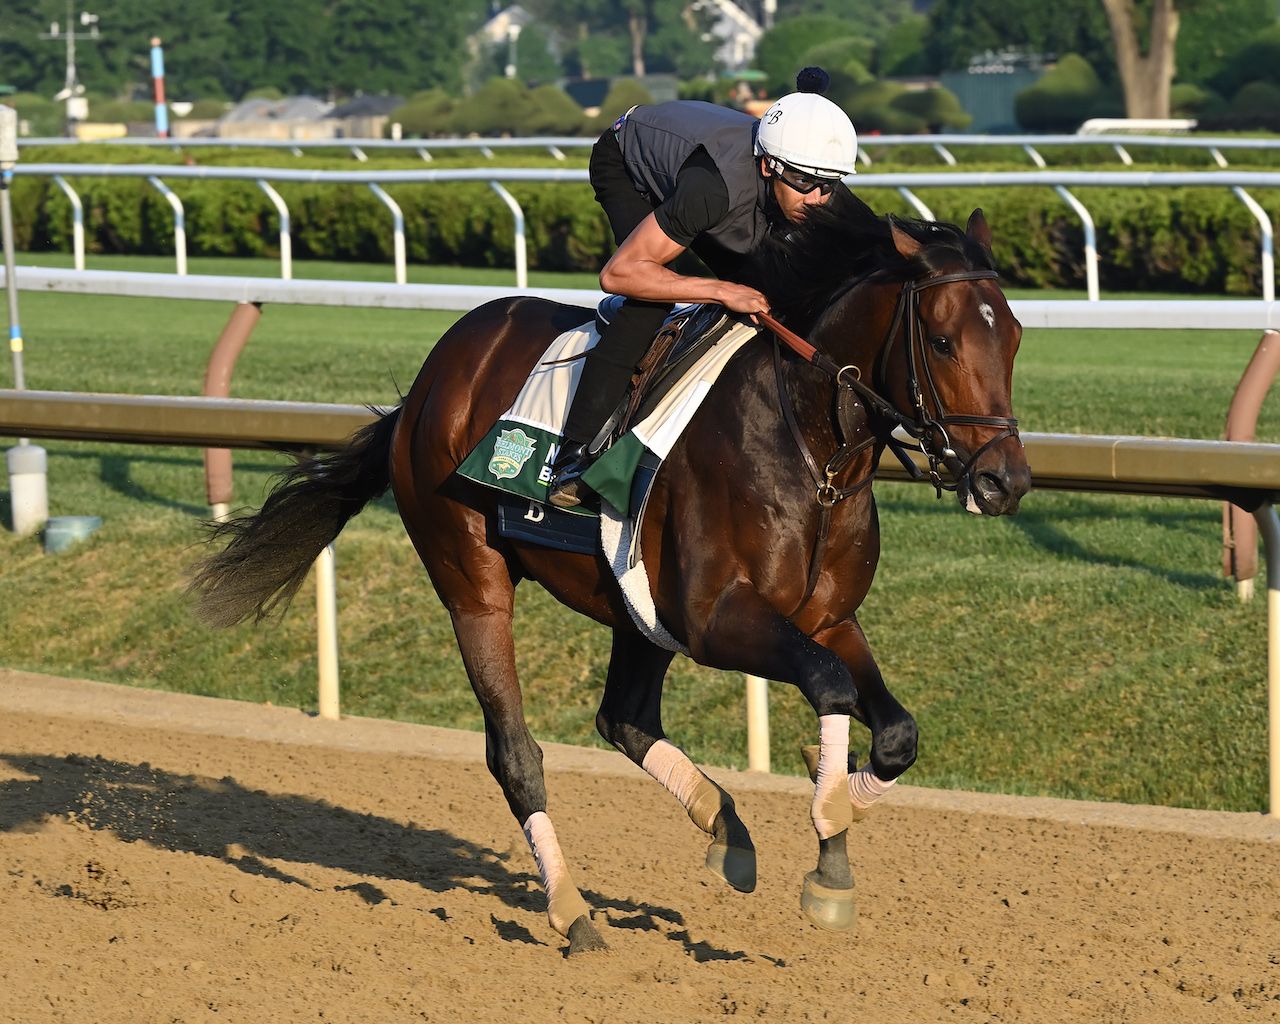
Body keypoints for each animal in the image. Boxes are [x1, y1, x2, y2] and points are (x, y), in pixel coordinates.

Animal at [186, 195, 1029, 957]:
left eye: (1016, 336)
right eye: (944, 341)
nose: (1004, 482)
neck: (810, 450)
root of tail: (427, 384)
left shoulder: (826, 618)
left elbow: (893, 730)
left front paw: (836, 811)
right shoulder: (716, 622)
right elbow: (830, 685)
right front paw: (828, 849)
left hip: (635, 607)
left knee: (623, 719)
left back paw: (724, 829)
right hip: (472, 581)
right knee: (516, 753)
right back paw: (572, 912)